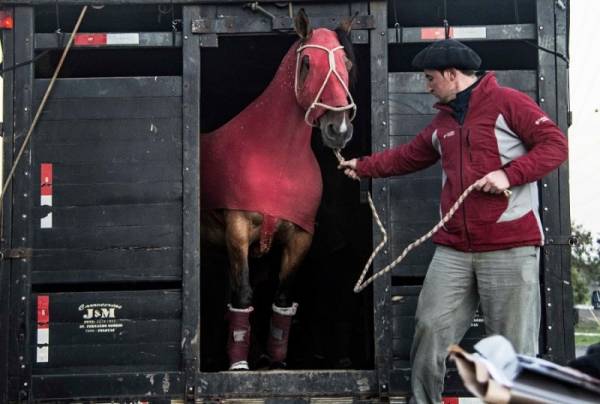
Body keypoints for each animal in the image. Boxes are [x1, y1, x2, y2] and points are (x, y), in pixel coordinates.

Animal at [199, 10, 356, 370]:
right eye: (308, 63)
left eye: (347, 64)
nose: (338, 129)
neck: (277, 158)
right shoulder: (238, 230)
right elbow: (243, 295)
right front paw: (239, 365)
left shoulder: (300, 238)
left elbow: (282, 299)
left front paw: (275, 363)